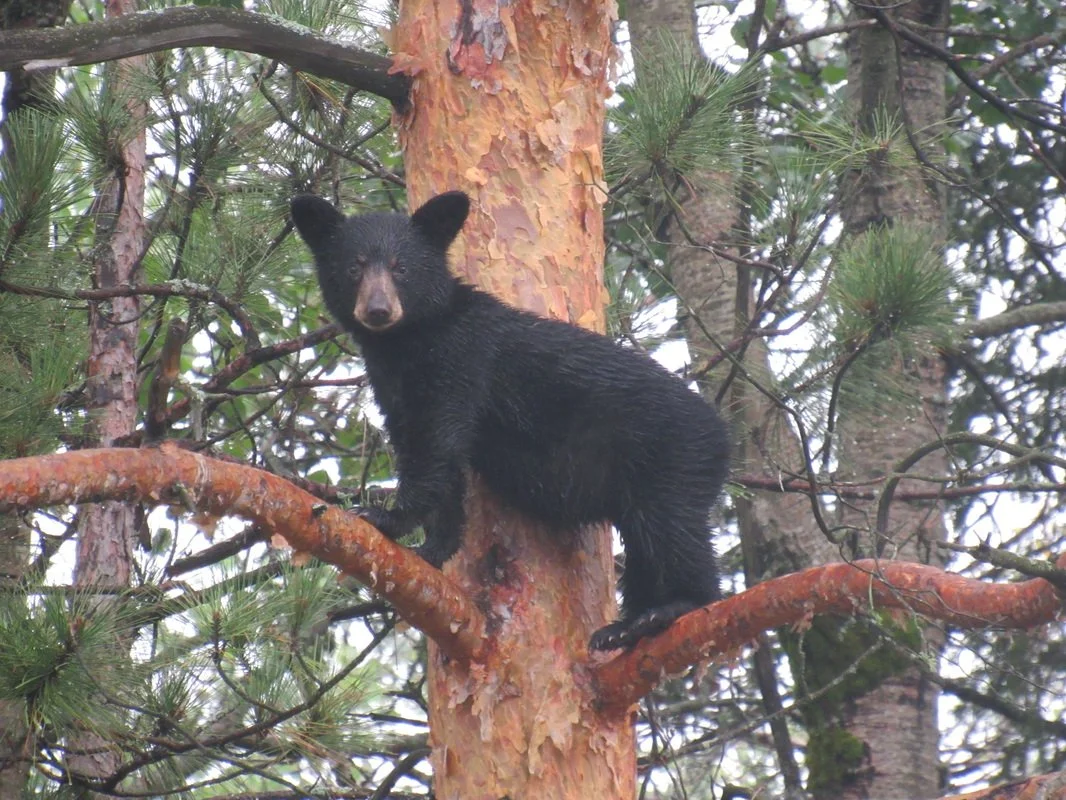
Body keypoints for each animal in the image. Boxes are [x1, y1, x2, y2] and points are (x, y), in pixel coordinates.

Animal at [290, 191, 730, 651]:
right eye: (354, 266)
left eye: (401, 267)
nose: (378, 309)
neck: (407, 342)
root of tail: (722, 433)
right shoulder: (394, 388)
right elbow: (436, 453)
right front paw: (433, 548)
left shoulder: (460, 360)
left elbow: (436, 445)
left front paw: (386, 517)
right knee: (646, 542)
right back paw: (625, 626)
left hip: (672, 459)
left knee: (673, 533)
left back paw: (673, 608)